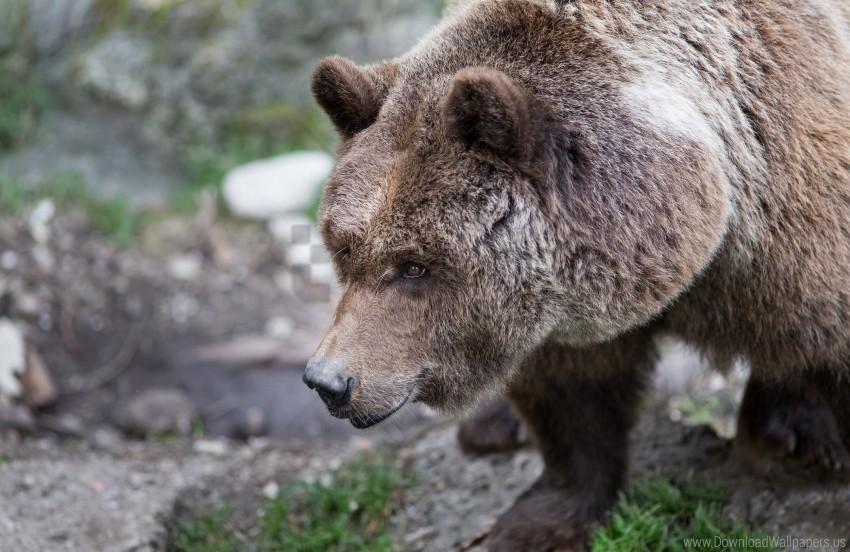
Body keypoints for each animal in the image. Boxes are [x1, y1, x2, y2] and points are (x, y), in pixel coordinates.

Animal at [300, 0, 848, 548]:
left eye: (414, 265)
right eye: (344, 248)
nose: (328, 382)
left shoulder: (789, 221)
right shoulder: (553, 309)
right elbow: (571, 395)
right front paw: (541, 519)